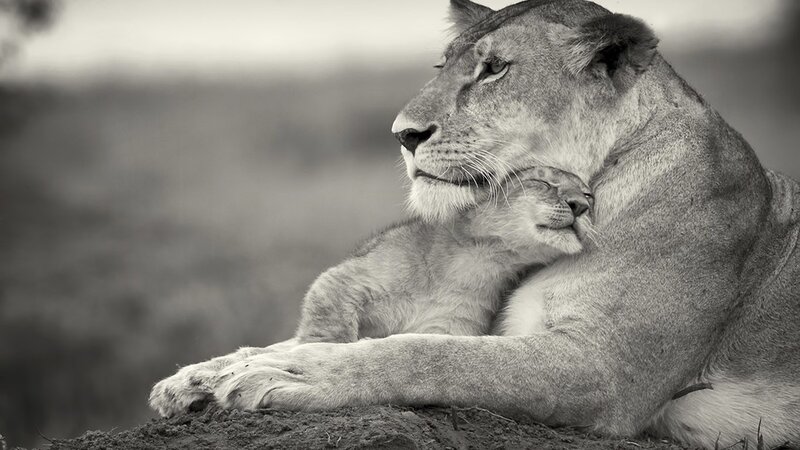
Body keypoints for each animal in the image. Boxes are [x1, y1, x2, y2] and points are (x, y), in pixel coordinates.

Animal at [149, 1, 800, 448]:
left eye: (494, 70)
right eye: (443, 66)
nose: (403, 134)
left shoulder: (607, 370)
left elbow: (430, 354)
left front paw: (291, 374)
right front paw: (201, 377)